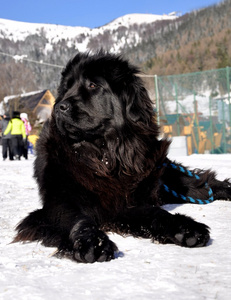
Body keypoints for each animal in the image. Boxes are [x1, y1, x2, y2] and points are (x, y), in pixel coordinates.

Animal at [14, 52, 231, 264]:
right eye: (66, 88)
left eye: (93, 85)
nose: (60, 106)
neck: (105, 155)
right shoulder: (60, 201)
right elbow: (78, 220)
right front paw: (92, 243)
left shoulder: (128, 200)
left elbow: (156, 212)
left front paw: (185, 228)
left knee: (203, 183)